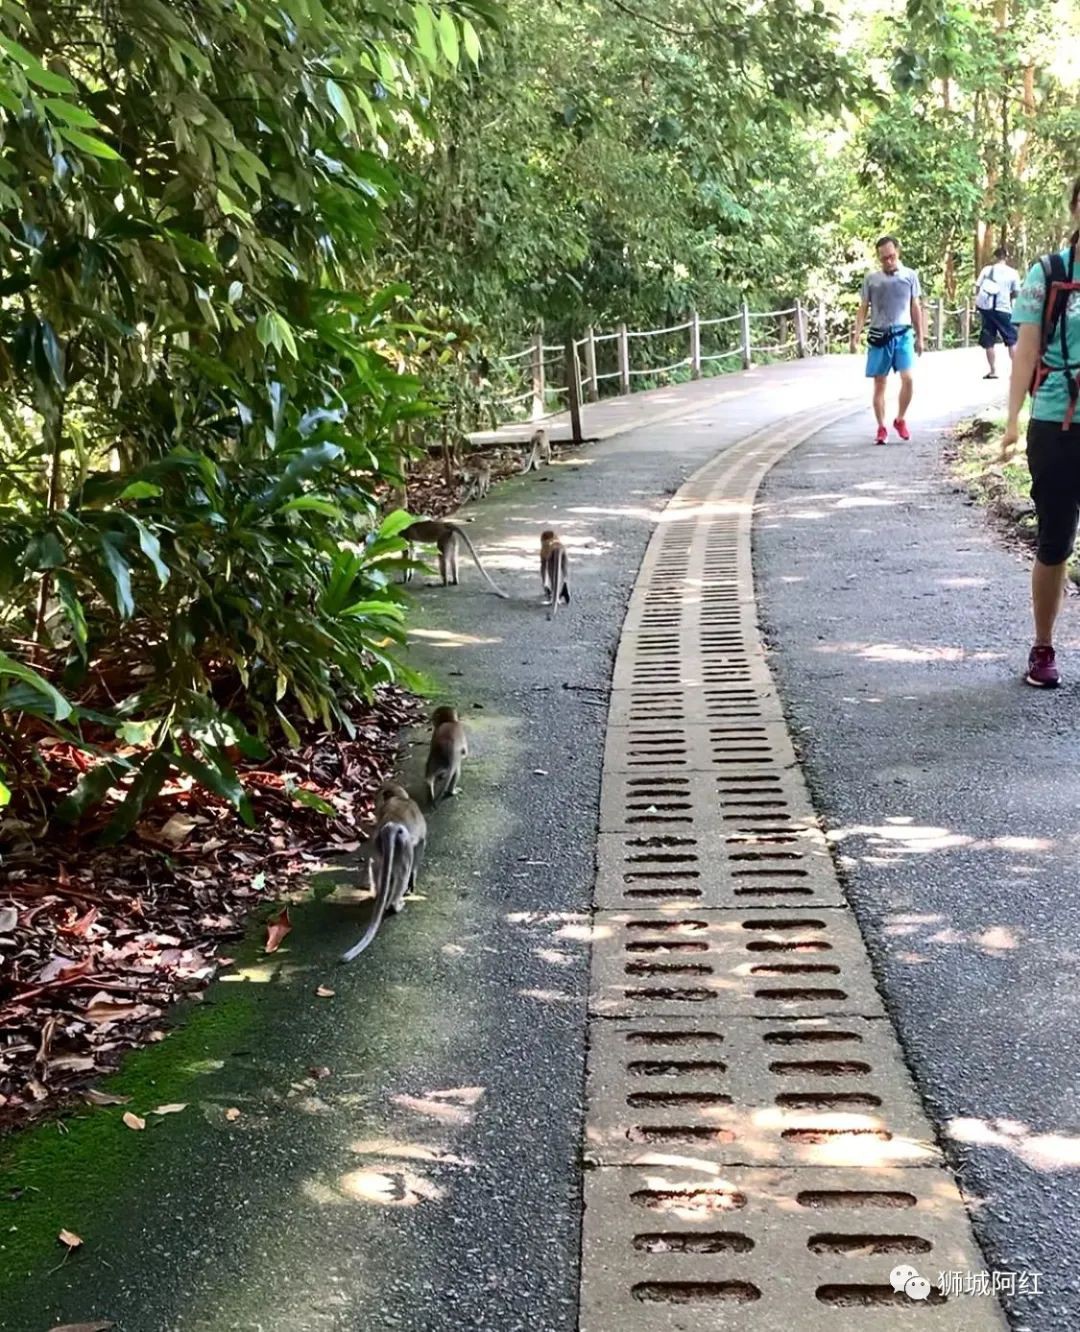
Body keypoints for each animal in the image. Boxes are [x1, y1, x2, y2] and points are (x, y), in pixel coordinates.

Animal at [339, 777, 428, 959]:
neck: (400, 798)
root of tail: (391, 827)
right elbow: (420, 849)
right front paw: (413, 882)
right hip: (404, 844)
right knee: (403, 872)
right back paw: (395, 905)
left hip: (380, 844)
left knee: (378, 866)